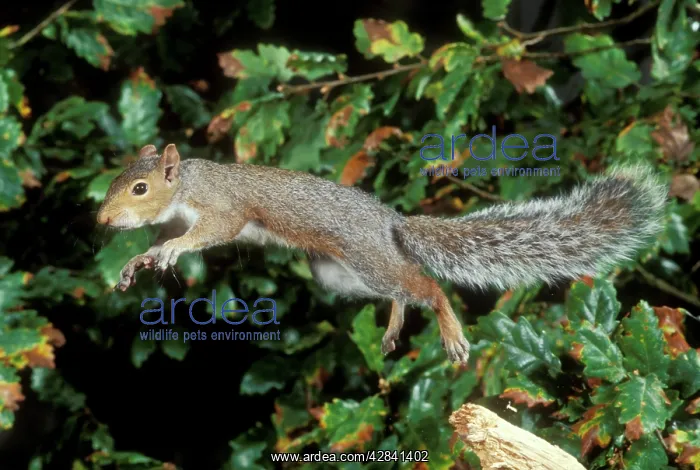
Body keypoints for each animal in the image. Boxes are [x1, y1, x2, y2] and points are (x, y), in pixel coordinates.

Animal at [96, 143, 668, 365]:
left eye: (140, 188)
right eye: (117, 178)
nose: (102, 220)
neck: (186, 186)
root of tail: (391, 224)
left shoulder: (222, 208)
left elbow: (213, 229)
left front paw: (172, 250)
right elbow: (155, 244)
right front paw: (138, 261)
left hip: (365, 256)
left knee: (426, 285)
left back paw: (451, 332)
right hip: (340, 274)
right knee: (400, 288)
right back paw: (395, 323)